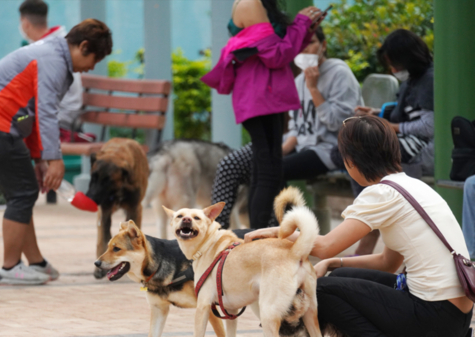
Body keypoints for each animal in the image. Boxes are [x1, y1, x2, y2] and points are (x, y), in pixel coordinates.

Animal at [86, 138, 149, 276]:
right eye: (93, 177)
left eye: (107, 181)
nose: (90, 198)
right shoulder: (105, 210)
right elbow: (104, 237)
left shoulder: (134, 208)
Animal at [164, 186, 324, 336]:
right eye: (179, 216)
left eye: (196, 218)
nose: (186, 219)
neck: (208, 244)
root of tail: (294, 250)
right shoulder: (231, 311)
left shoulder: (203, 306)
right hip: (310, 314)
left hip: (268, 314)